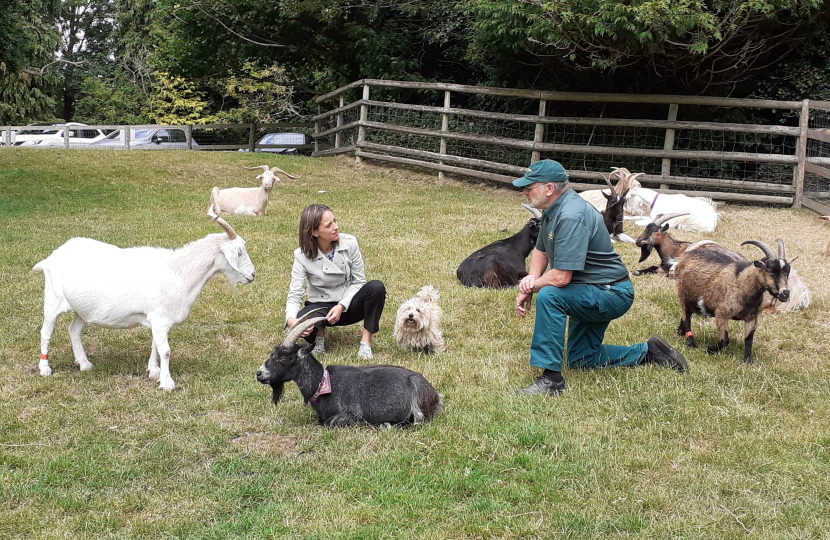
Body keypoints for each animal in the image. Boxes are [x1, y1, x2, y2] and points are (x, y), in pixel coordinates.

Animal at [31, 213, 256, 390]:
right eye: (238, 252)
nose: (253, 275)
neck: (179, 272)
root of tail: (52, 256)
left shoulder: (158, 319)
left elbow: (156, 346)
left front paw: (154, 371)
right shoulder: (159, 317)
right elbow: (166, 351)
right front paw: (167, 383)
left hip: (82, 308)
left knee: (74, 330)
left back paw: (84, 363)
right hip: (52, 299)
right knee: (46, 332)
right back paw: (45, 368)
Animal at [256, 310, 446, 428]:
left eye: (283, 358)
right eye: (272, 353)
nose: (259, 374)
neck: (323, 383)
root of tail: (435, 394)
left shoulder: (349, 415)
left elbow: (329, 423)